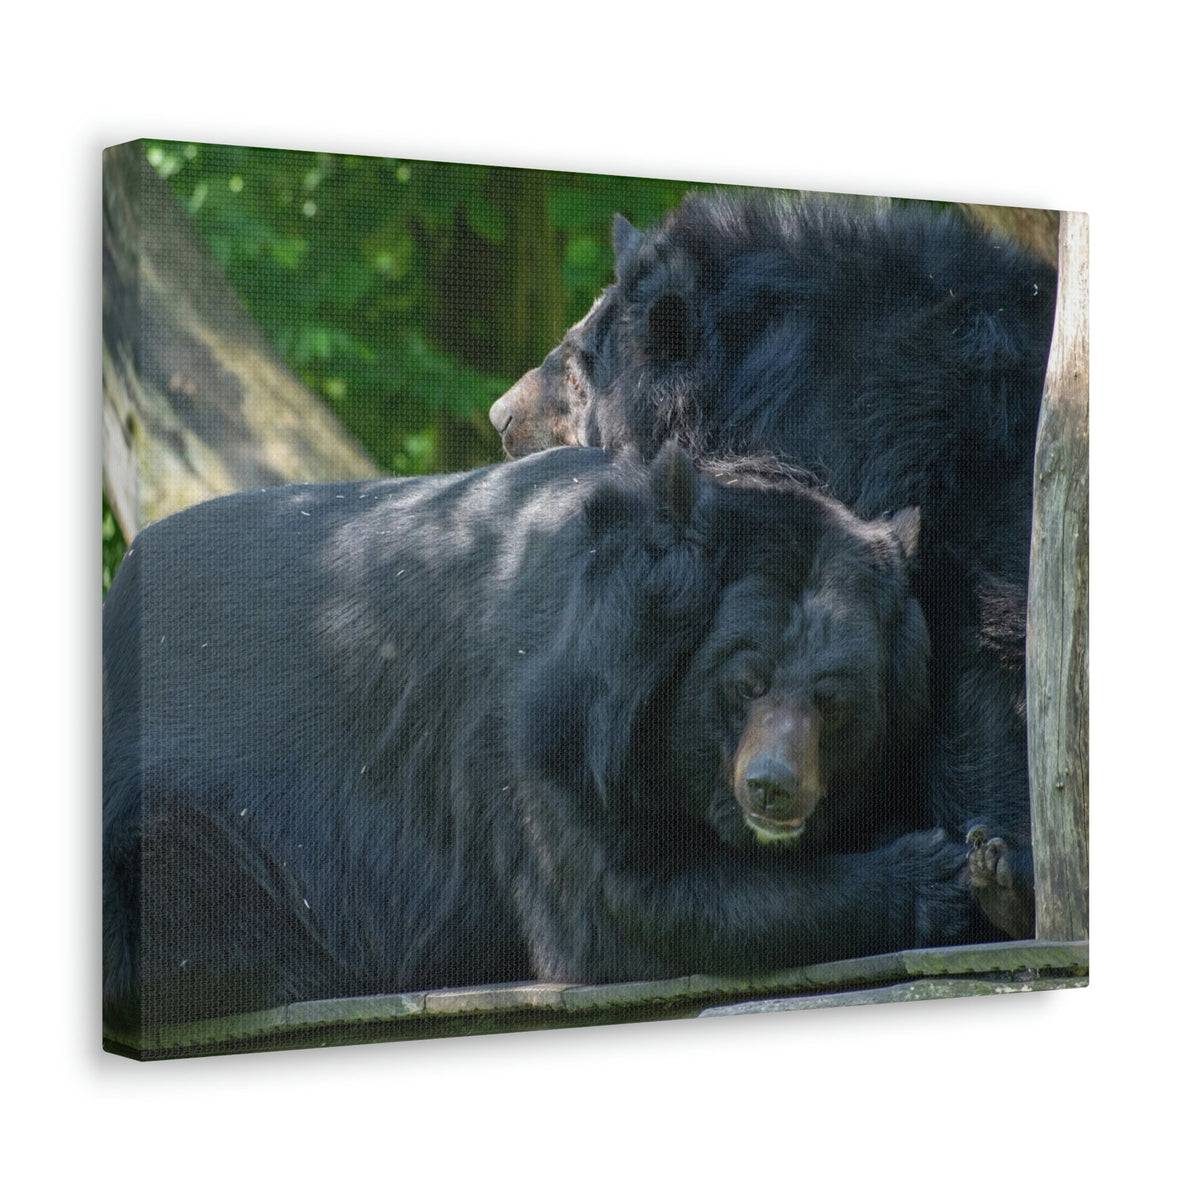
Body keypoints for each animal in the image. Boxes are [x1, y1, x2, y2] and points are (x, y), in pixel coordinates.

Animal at [103, 444, 970, 1035]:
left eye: (835, 702)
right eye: (744, 681)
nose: (773, 787)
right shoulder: (545, 729)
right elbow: (622, 906)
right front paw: (937, 875)